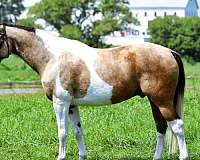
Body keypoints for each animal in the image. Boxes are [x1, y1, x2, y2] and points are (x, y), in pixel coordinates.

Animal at [0, 23, 188, 160]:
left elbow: (62, 132)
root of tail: (170, 52)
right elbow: (78, 131)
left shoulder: (60, 102)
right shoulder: (71, 105)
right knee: (161, 127)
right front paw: (82, 156)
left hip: (162, 101)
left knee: (177, 126)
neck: (53, 57)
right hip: (154, 101)